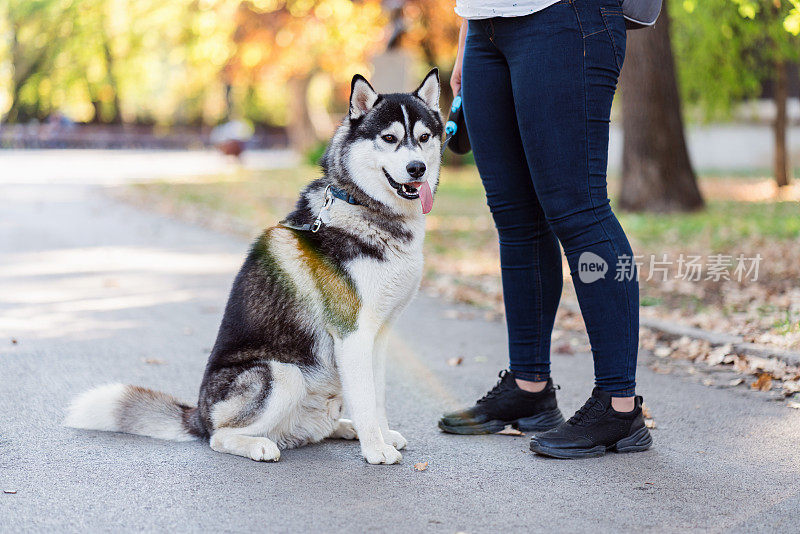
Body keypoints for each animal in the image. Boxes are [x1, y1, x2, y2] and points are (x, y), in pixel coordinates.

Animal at [64, 70, 444, 464]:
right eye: (390, 138)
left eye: (424, 138)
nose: (417, 168)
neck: (364, 209)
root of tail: (199, 414)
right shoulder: (352, 334)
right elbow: (367, 400)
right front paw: (375, 449)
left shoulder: (378, 335)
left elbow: (377, 397)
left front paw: (382, 437)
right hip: (282, 373)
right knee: (220, 436)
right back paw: (260, 445)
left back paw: (341, 428)